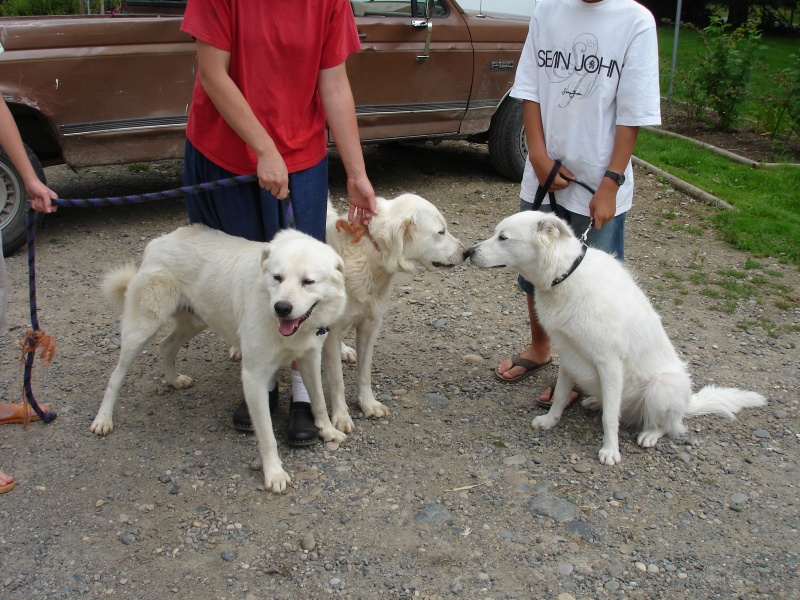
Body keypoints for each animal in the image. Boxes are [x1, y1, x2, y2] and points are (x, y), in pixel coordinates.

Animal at [90, 225, 347, 492]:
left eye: (308, 281)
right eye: (277, 278)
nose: (282, 308)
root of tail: (161, 240)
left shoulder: (309, 358)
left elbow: (318, 400)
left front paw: (327, 431)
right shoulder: (254, 375)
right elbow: (267, 436)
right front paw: (274, 473)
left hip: (195, 321)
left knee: (166, 346)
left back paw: (174, 380)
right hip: (141, 330)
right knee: (116, 376)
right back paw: (103, 419)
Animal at [323, 193, 466, 432]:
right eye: (441, 232)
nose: (467, 252)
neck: (368, 256)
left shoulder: (370, 326)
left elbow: (365, 373)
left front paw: (368, 404)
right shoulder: (331, 332)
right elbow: (336, 382)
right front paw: (341, 416)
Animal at [466, 211, 765, 465]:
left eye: (504, 237)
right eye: (495, 233)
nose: (469, 252)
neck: (564, 275)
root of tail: (687, 403)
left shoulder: (608, 362)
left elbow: (610, 418)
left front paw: (610, 450)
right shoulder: (568, 354)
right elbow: (561, 396)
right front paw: (550, 421)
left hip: (661, 386)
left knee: (666, 425)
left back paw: (649, 434)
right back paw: (593, 401)